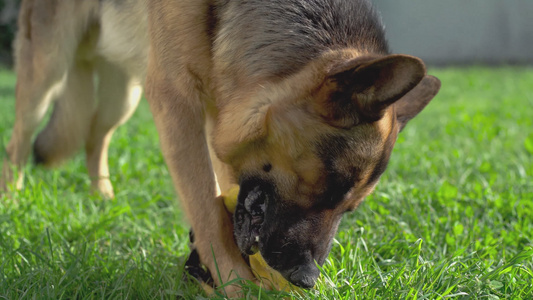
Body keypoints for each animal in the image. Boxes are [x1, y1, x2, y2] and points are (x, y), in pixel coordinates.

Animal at [2, 0, 438, 292]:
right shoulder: (178, 104)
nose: (307, 279)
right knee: (19, 139)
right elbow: (207, 207)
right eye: (326, 187)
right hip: (47, 72)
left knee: (96, 137)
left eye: (349, 207)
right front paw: (235, 284)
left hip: (122, 95)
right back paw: (13, 197)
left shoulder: (223, 108)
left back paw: (102, 198)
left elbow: (226, 196)